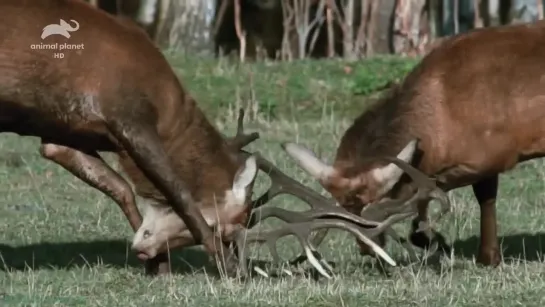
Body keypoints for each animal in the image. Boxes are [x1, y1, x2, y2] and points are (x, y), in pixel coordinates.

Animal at [280, 20, 545, 268]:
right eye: (344, 212)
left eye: (371, 215)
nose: (367, 250)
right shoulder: (484, 161)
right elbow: (485, 198)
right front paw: (488, 257)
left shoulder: (494, 155)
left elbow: (426, 187)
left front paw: (428, 238)